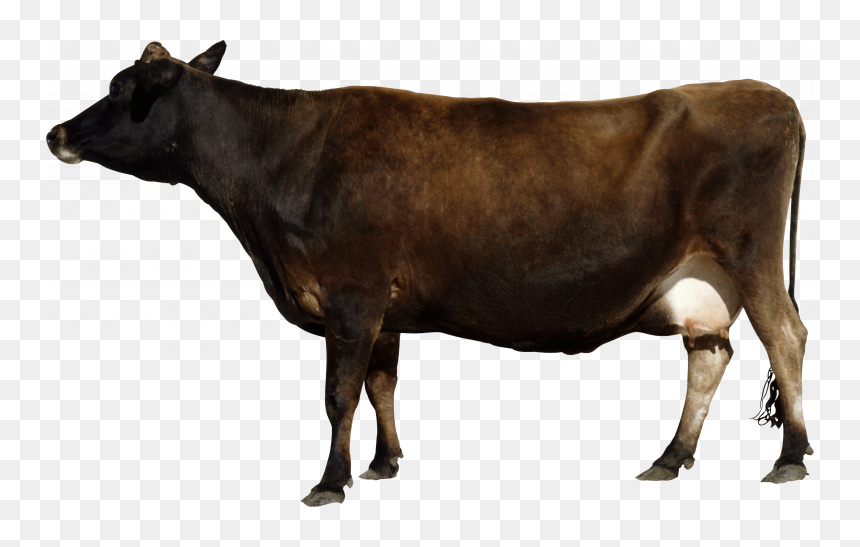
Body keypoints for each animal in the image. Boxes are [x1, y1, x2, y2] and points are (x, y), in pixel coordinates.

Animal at [47, 41, 812, 506]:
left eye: (122, 89)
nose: (57, 133)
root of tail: (769, 93)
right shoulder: (382, 308)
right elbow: (381, 384)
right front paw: (384, 463)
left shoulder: (350, 294)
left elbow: (339, 394)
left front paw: (331, 481)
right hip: (702, 281)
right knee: (710, 352)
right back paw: (670, 456)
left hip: (751, 254)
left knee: (786, 337)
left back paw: (791, 455)